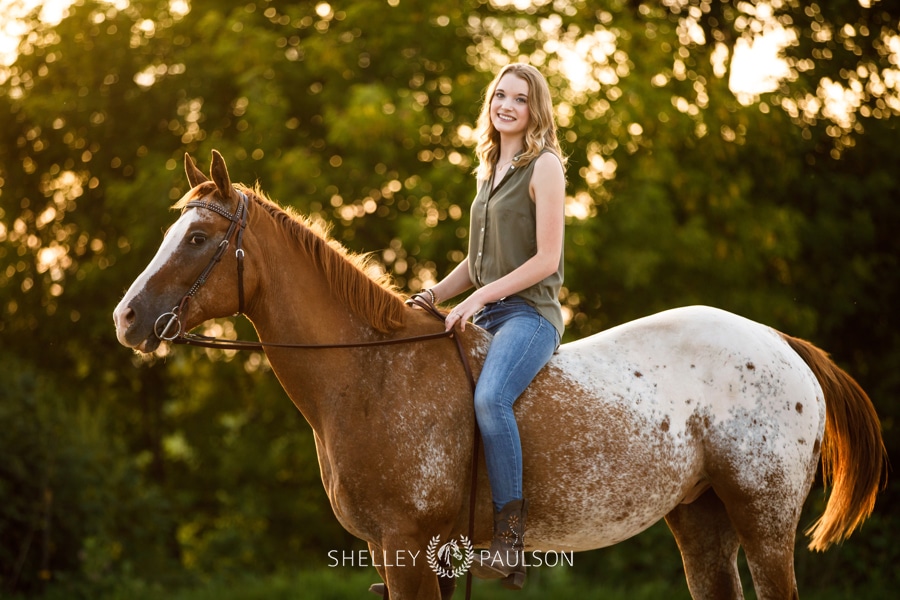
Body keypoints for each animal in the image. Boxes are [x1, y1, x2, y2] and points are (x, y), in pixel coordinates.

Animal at [114, 152, 884, 600]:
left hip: (763, 518)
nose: (126, 318)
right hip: (700, 518)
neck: (372, 374)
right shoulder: (394, 551)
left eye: (198, 238)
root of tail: (780, 342)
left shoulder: (406, 547)